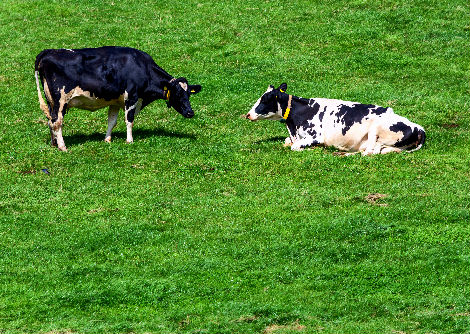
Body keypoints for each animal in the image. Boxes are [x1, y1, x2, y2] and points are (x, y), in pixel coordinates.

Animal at [34, 46, 200, 151]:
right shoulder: (132, 97)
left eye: (188, 94)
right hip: (61, 100)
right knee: (57, 122)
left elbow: (112, 121)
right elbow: (129, 120)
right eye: (178, 94)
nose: (190, 112)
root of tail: (47, 52)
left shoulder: (114, 101)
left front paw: (107, 139)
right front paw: (129, 140)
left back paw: (54, 143)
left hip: (51, 101)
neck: (142, 67)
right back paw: (63, 147)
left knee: (51, 120)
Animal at [246, 83, 426, 157]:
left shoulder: (315, 136)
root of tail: (418, 128)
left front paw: (312, 149)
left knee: (368, 153)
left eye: (265, 99)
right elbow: (287, 142)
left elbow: (295, 147)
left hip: (375, 128)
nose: (248, 114)